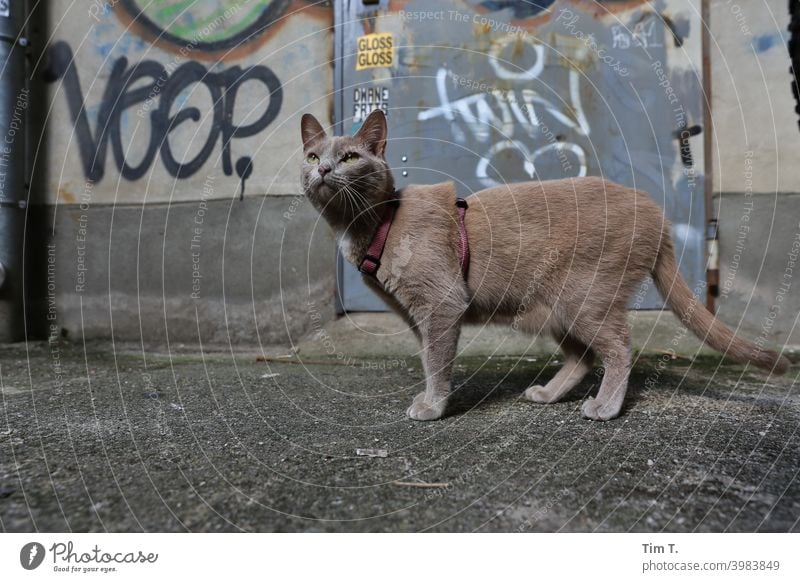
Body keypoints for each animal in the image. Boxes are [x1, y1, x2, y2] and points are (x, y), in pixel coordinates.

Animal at [298, 109, 788, 422]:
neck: (376, 225)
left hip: (584, 298)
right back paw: (549, 395)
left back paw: (605, 408)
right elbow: (428, 357)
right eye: (312, 156)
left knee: (618, 349)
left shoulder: (441, 305)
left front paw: (432, 407)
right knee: (583, 357)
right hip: (554, 307)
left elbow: (436, 361)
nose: (322, 168)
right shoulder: (419, 315)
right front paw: (431, 398)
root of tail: (656, 212)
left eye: (350, 157)